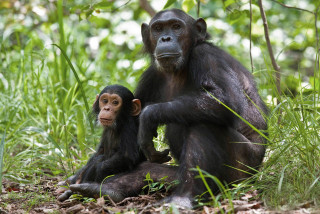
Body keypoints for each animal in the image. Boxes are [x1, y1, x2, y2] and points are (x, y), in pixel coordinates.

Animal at [134, 8, 268, 207]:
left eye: (176, 26)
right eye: (157, 29)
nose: (165, 38)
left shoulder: (205, 56)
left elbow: (225, 99)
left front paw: (148, 116)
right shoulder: (149, 77)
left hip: (243, 171)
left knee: (203, 124)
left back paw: (183, 197)